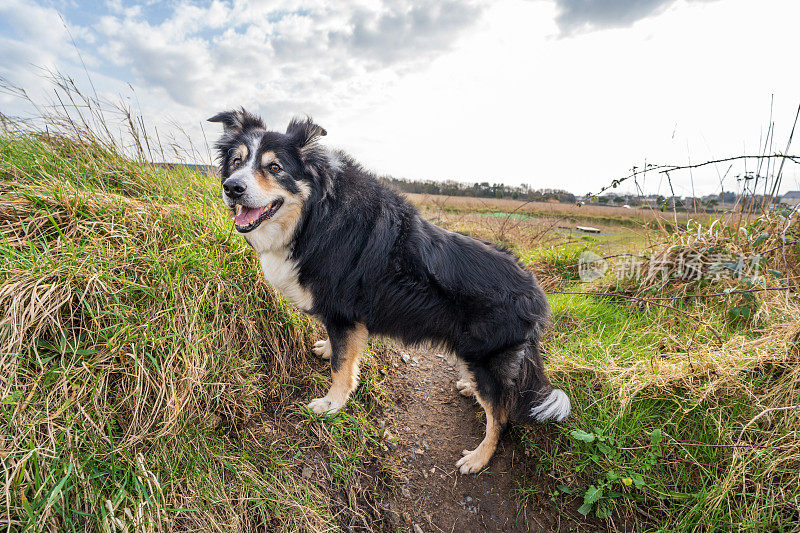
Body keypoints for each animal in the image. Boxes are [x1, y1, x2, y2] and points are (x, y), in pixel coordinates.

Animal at [206, 109, 568, 474]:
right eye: (236, 162)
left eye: (275, 167)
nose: (232, 187)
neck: (315, 216)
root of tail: (536, 295)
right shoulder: (345, 319)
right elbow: (343, 352)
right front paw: (326, 349)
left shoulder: (343, 313)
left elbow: (341, 367)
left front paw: (331, 404)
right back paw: (469, 386)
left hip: (487, 355)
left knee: (502, 415)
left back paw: (479, 458)